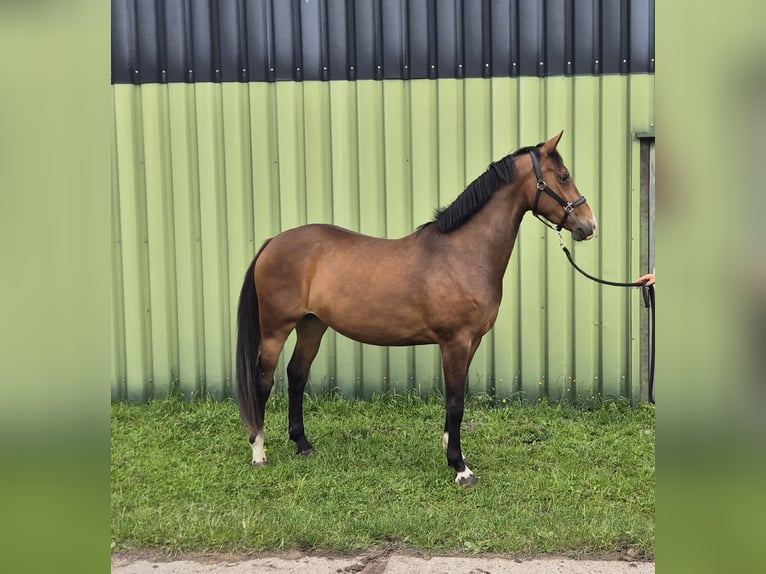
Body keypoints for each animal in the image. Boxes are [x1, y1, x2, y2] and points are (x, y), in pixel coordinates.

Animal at [235, 131, 597, 486]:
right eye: (563, 177)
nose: (590, 225)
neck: (462, 253)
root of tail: (272, 243)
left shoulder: (472, 342)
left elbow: (456, 400)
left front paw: (449, 446)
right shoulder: (454, 342)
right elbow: (455, 402)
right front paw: (460, 468)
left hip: (312, 324)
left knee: (297, 375)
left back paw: (303, 444)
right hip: (276, 330)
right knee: (263, 381)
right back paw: (259, 453)